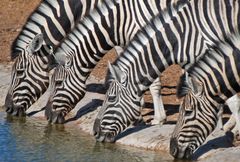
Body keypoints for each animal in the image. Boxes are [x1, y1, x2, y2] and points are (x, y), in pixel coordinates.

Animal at [44, 0, 188, 123]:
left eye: (58, 83)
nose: (47, 116)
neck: (118, 21)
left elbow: (151, 83)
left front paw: (159, 119)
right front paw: (137, 113)